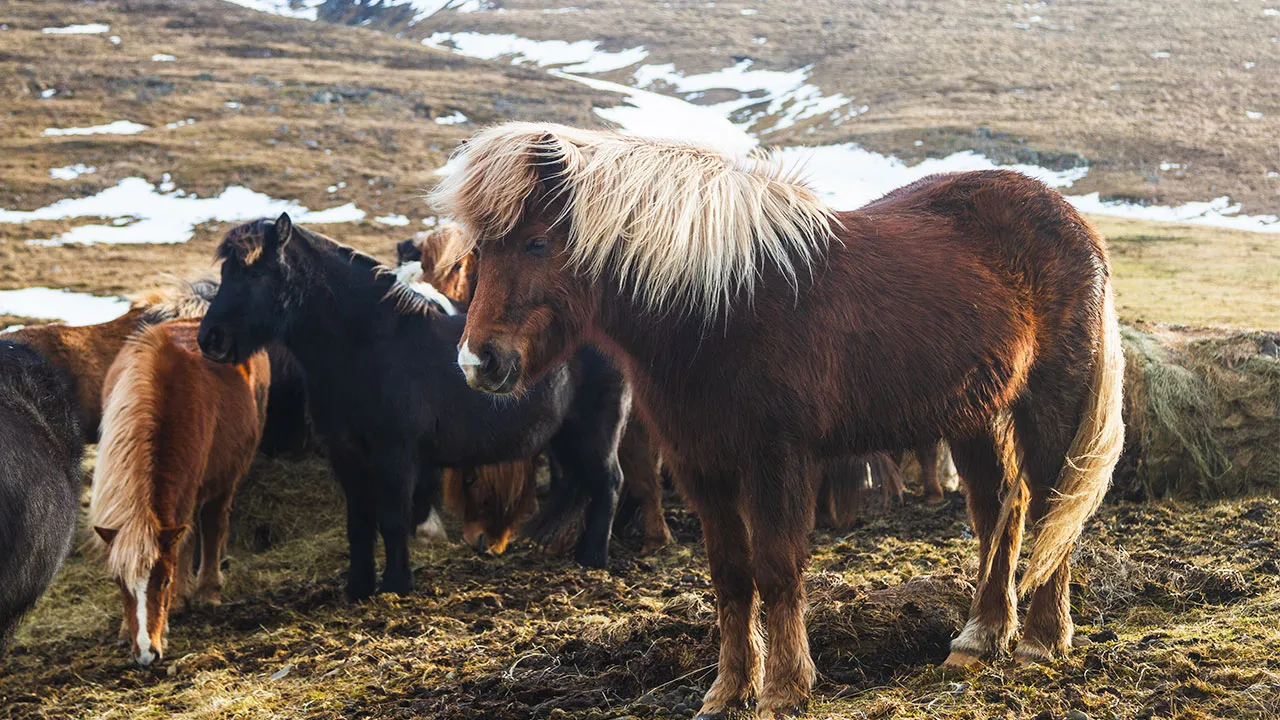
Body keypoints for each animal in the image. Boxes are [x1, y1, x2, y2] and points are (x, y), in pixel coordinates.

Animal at [89, 320, 269, 666]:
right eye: (120, 584)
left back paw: (207, 592)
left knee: (212, 524)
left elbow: (186, 542)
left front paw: (175, 605)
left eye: (165, 581)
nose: (146, 654)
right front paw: (125, 629)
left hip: (225, 477)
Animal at [196, 215, 631, 599]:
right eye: (226, 272)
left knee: (609, 484)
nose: (210, 338)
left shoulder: (395, 455)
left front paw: (396, 584)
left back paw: (593, 559)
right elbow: (358, 523)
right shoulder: (345, 455)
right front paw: (358, 588)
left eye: (257, 273)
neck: (367, 346)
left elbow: (391, 520)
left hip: (596, 431)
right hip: (565, 437)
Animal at [432, 123, 1125, 718]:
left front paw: (786, 689)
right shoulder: (700, 464)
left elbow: (777, 568)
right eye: (479, 250)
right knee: (998, 508)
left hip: (1046, 403)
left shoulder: (777, 459)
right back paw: (980, 636)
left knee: (1052, 506)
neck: (717, 304)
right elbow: (731, 576)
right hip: (974, 414)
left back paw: (1040, 640)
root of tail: (1074, 223)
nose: (477, 362)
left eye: (537, 242)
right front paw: (728, 691)